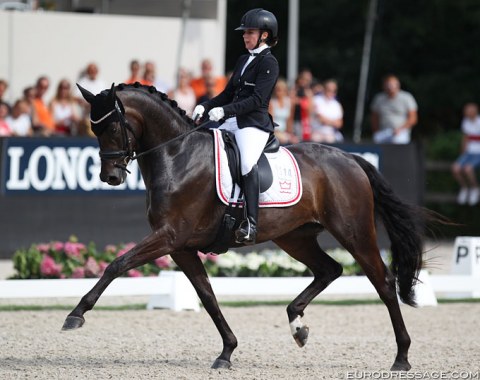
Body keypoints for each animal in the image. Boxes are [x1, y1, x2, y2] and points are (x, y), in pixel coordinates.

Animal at [63, 83, 436, 372]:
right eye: (94, 130)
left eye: (113, 129)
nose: (110, 177)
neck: (177, 155)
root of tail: (350, 159)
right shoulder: (181, 247)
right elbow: (207, 296)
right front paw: (227, 351)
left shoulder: (169, 237)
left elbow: (117, 264)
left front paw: (76, 315)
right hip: (295, 238)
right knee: (330, 269)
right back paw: (297, 325)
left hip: (354, 232)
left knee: (383, 282)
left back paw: (402, 357)